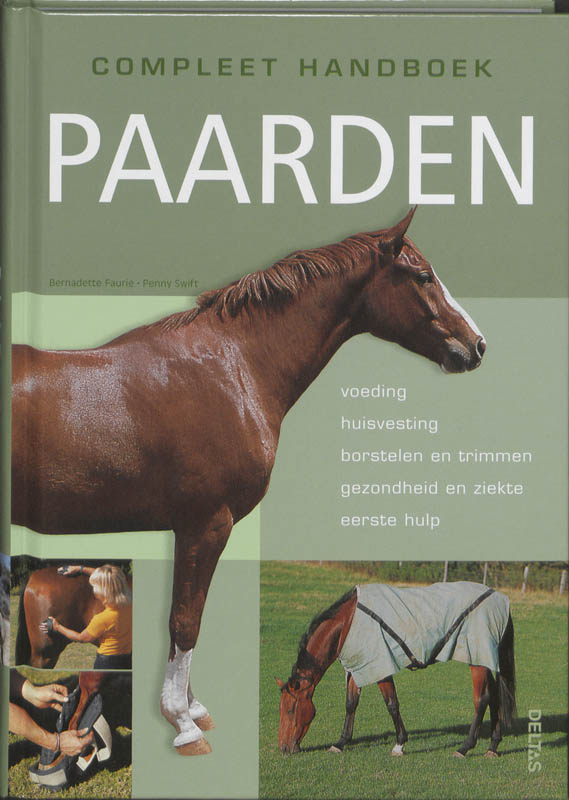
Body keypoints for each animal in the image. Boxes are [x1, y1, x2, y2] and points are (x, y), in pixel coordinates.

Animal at [11, 209, 486, 755]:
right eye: (423, 276)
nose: (477, 345)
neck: (232, 366)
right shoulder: (205, 525)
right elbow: (185, 622)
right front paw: (184, 723)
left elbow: (188, 619)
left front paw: (192, 709)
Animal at [276, 582, 516, 759]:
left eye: (290, 709)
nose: (284, 748)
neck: (349, 621)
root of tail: (499, 598)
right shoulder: (357, 667)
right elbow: (351, 704)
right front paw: (340, 743)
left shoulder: (381, 667)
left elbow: (391, 704)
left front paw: (399, 744)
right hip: (484, 661)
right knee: (494, 699)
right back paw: (492, 747)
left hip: (478, 661)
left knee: (481, 700)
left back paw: (464, 748)